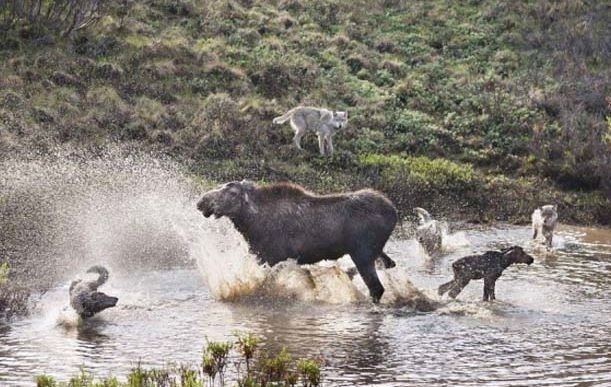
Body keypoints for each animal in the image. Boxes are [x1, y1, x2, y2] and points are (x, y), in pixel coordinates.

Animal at [196, 180, 396, 304]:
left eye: (231, 192)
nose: (202, 201)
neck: (251, 224)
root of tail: (393, 212)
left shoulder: (271, 258)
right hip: (372, 252)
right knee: (388, 265)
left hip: (362, 253)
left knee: (376, 288)